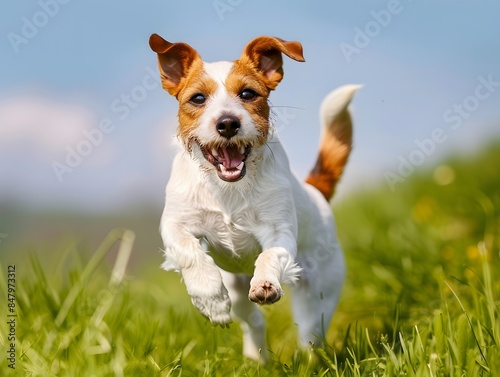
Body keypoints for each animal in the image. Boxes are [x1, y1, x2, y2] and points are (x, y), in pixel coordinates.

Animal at [148, 33, 360, 360]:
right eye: (198, 98)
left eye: (248, 93)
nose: (227, 123)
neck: (228, 189)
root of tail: (316, 192)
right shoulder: (175, 224)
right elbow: (189, 253)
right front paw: (211, 301)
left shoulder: (279, 230)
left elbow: (271, 254)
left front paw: (266, 281)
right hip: (237, 291)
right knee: (254, 321)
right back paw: (256, 357)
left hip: (318, 292)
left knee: (310, 332)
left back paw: (308, 359)